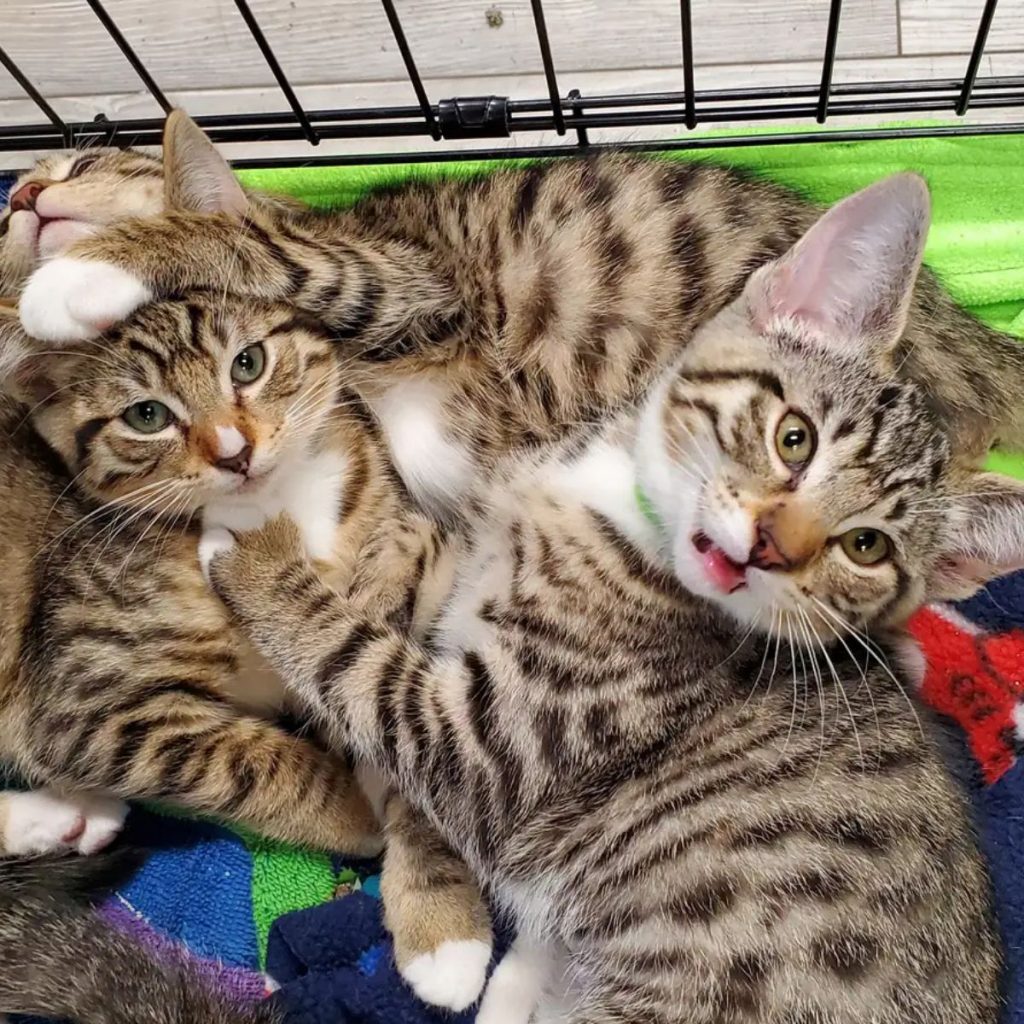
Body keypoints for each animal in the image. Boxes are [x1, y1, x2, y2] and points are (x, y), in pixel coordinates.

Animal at [197, 176, 999, 1024]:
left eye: (866, 546)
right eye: (795, 438)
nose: (770, 547)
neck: (618, 502)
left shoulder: (492, 746)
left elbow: (356, 661)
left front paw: (259, 547)